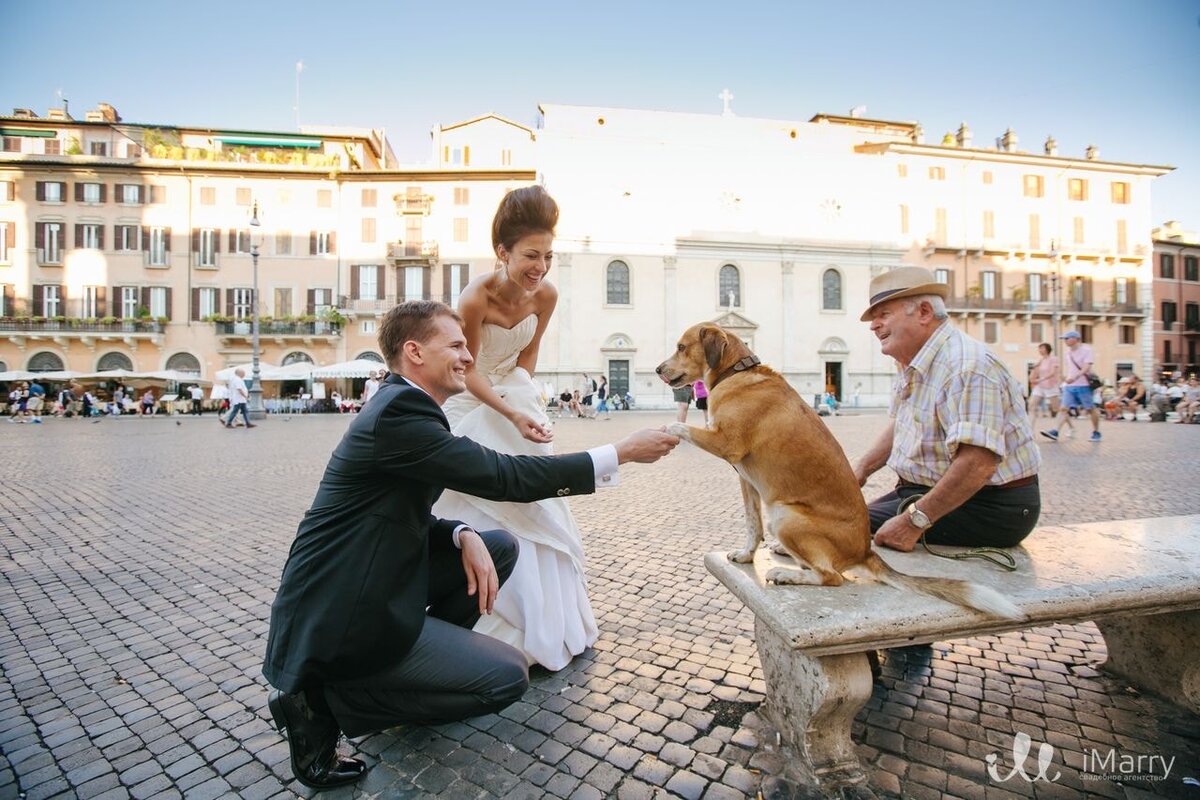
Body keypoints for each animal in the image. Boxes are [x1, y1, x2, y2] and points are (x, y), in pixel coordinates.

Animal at [657, 323, 1022, 618]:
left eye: (681, 346)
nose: (659, 368)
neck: (737, 373)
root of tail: (866, 550)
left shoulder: (726, 444)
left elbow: (681, 427)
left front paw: (667, 428)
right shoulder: (745, 480)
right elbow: (752, 525)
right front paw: (748, 555)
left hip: (785, 516)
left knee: (830, 576)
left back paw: (788, 574)